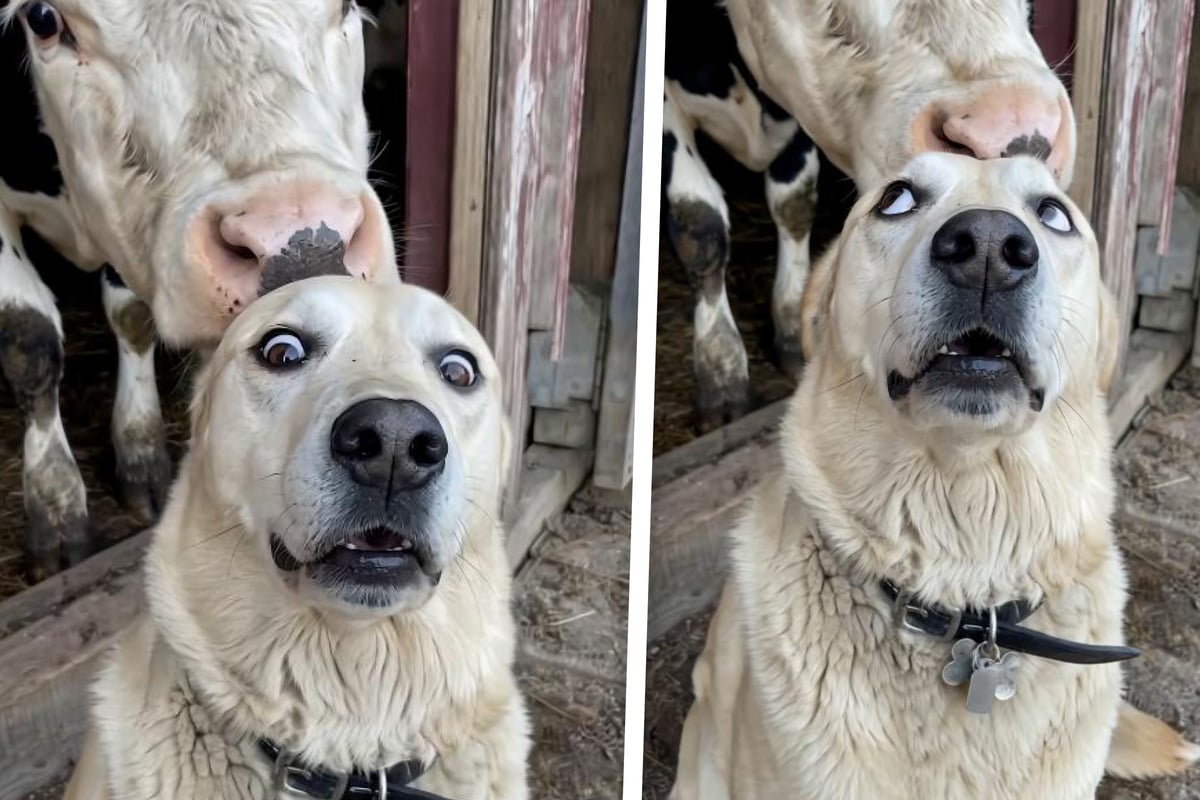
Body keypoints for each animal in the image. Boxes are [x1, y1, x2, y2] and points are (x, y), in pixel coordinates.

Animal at [0, 0, 408, 580]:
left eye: (347, 5)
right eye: (42, 18)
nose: (304, 244)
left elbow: (131, 316)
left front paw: (141, 452)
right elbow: (27, 340)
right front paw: (55, 507)